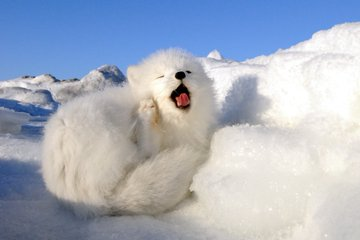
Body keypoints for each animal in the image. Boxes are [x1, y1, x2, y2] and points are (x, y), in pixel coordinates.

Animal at [42, 48, 217, 216]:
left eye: (188, 71)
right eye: (160, 76)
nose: (180, 74)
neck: (172, 119)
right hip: (110, 137)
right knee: (145, 154)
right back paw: (146, 114)